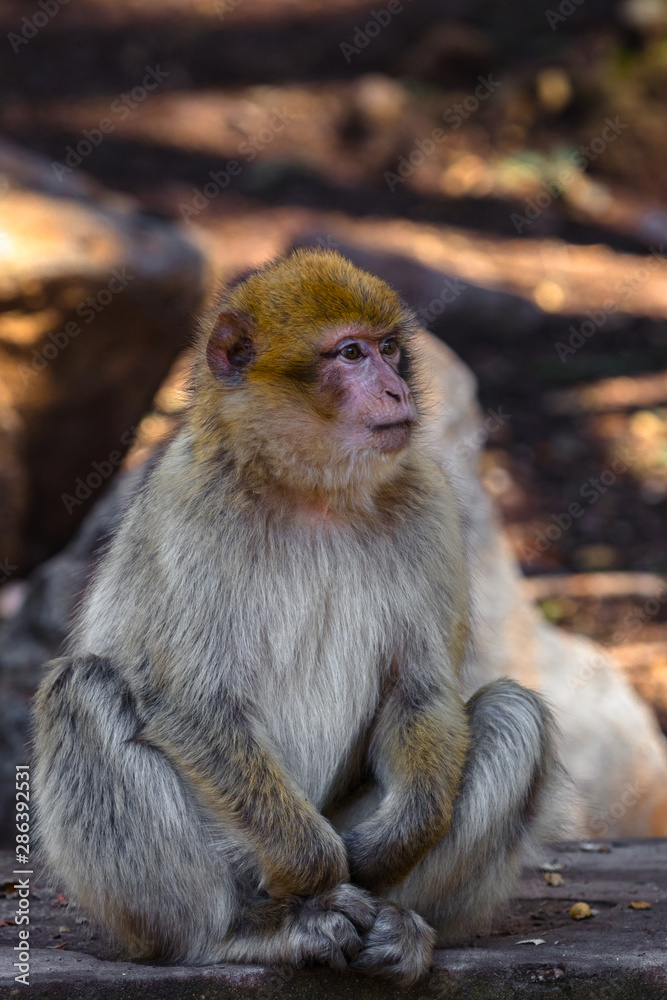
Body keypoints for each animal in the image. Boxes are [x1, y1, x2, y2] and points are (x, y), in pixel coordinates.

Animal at [33, 248, 559, 985]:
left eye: (389, 350)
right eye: (349, 354)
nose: (396, 392)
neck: (311, 490)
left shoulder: (424, 495)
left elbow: (420, 691)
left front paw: (386, 850)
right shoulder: (191, 504)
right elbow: (195, 705)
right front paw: (319, 866)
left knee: (514, 712)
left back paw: (399, 922)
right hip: (222, 863)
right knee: (81, 691)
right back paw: (245, 931)